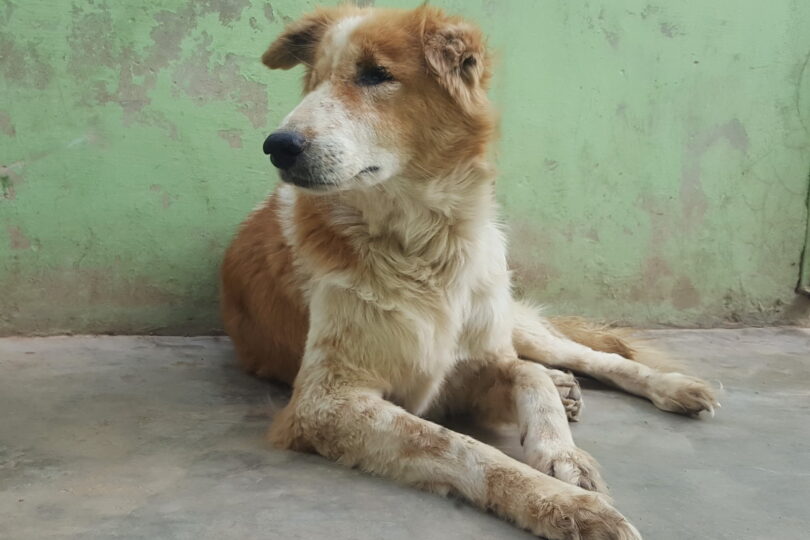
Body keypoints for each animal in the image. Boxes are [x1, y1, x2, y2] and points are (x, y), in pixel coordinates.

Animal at [219, 6, 712, 536]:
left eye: (375, 74)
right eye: (313, 81)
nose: (277, 145)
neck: (426, 242)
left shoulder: (476, 364)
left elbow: (529, 377)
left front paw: (563, 456)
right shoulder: (325, 402)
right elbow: (461, 445)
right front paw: (563, 503)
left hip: (511, 318)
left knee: (585, 356)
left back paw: (671, 387)